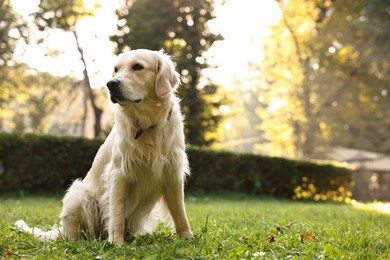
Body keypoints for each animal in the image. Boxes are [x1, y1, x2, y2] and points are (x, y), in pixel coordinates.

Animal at [16, 49, 193, 246]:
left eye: (137, 67)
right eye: (116, 69)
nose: (111, 84)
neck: (147, 125)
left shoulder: (172, 172)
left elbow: (180, 213)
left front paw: (188, 238)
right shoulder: (118, 173)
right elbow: (116, 212)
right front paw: (116, 242)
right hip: (79, 194)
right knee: (78, 234)